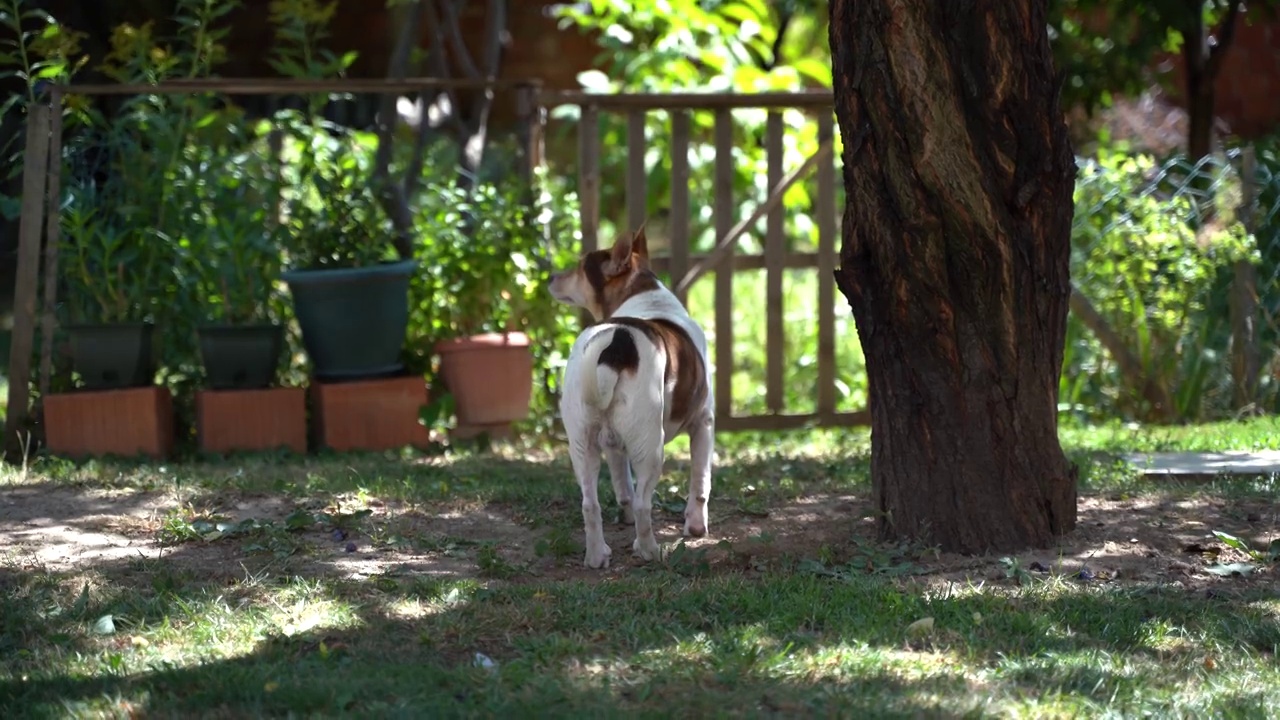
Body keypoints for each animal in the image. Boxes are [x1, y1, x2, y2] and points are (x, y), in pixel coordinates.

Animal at [547, 224, 716, 566]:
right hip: (650, 447)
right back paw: (649, 551)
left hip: (583, 443)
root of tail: (615, 342)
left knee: (590, 503)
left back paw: (597, 556)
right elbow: (700, 482)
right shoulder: (704, 422)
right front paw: (695, 527)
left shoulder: (612, 443)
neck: (644, 299)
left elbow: (621, 484)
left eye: (579, 267)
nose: (550, 276)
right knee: (643, 504)